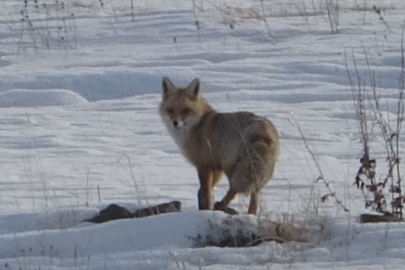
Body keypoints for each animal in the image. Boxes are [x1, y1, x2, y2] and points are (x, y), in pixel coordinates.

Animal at [159, 77, 280, 214]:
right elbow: (205, 190)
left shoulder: (205, 165)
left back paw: (222, 205)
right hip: (255, 171)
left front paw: (206, 209)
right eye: (170, 110)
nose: (175, 123)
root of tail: (262, 130)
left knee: (234, 188)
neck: (198, 124)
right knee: (255, 195)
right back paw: (251, 214)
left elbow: (206, 192)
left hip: (231, 166)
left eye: (186, 111)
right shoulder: (216, 167)